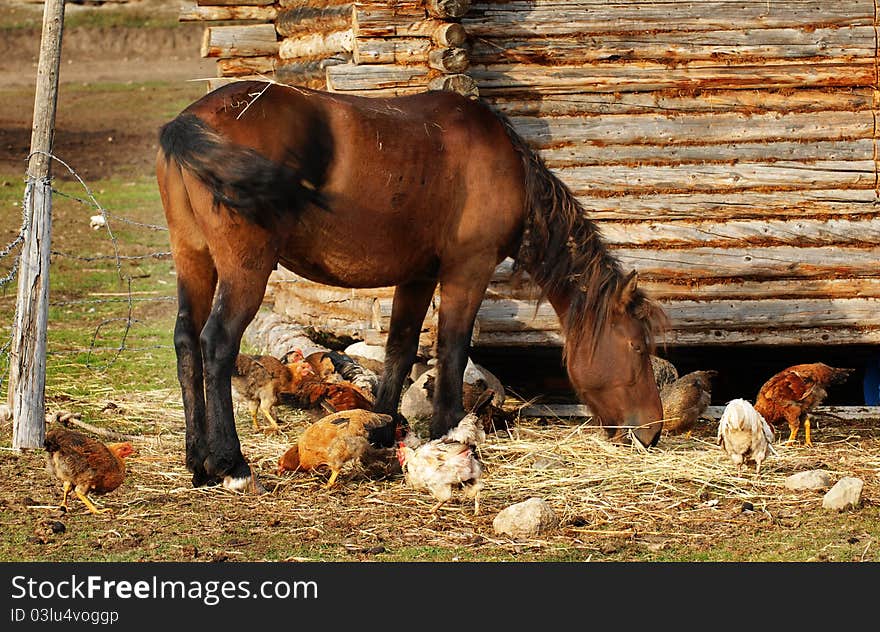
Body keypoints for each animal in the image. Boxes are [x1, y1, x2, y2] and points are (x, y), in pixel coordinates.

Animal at [156, 80, 668, 494]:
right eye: (638, 348)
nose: (653, 431)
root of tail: (187, 122)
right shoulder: (467, 270)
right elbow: (452, 351)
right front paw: (446, 432)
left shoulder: (418, 277)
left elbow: (399, 351)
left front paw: (381, 432)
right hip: (246, 269)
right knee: (216, 344)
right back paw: (231, 465)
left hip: (194, 259)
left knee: (186, 343)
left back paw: (198, 462)